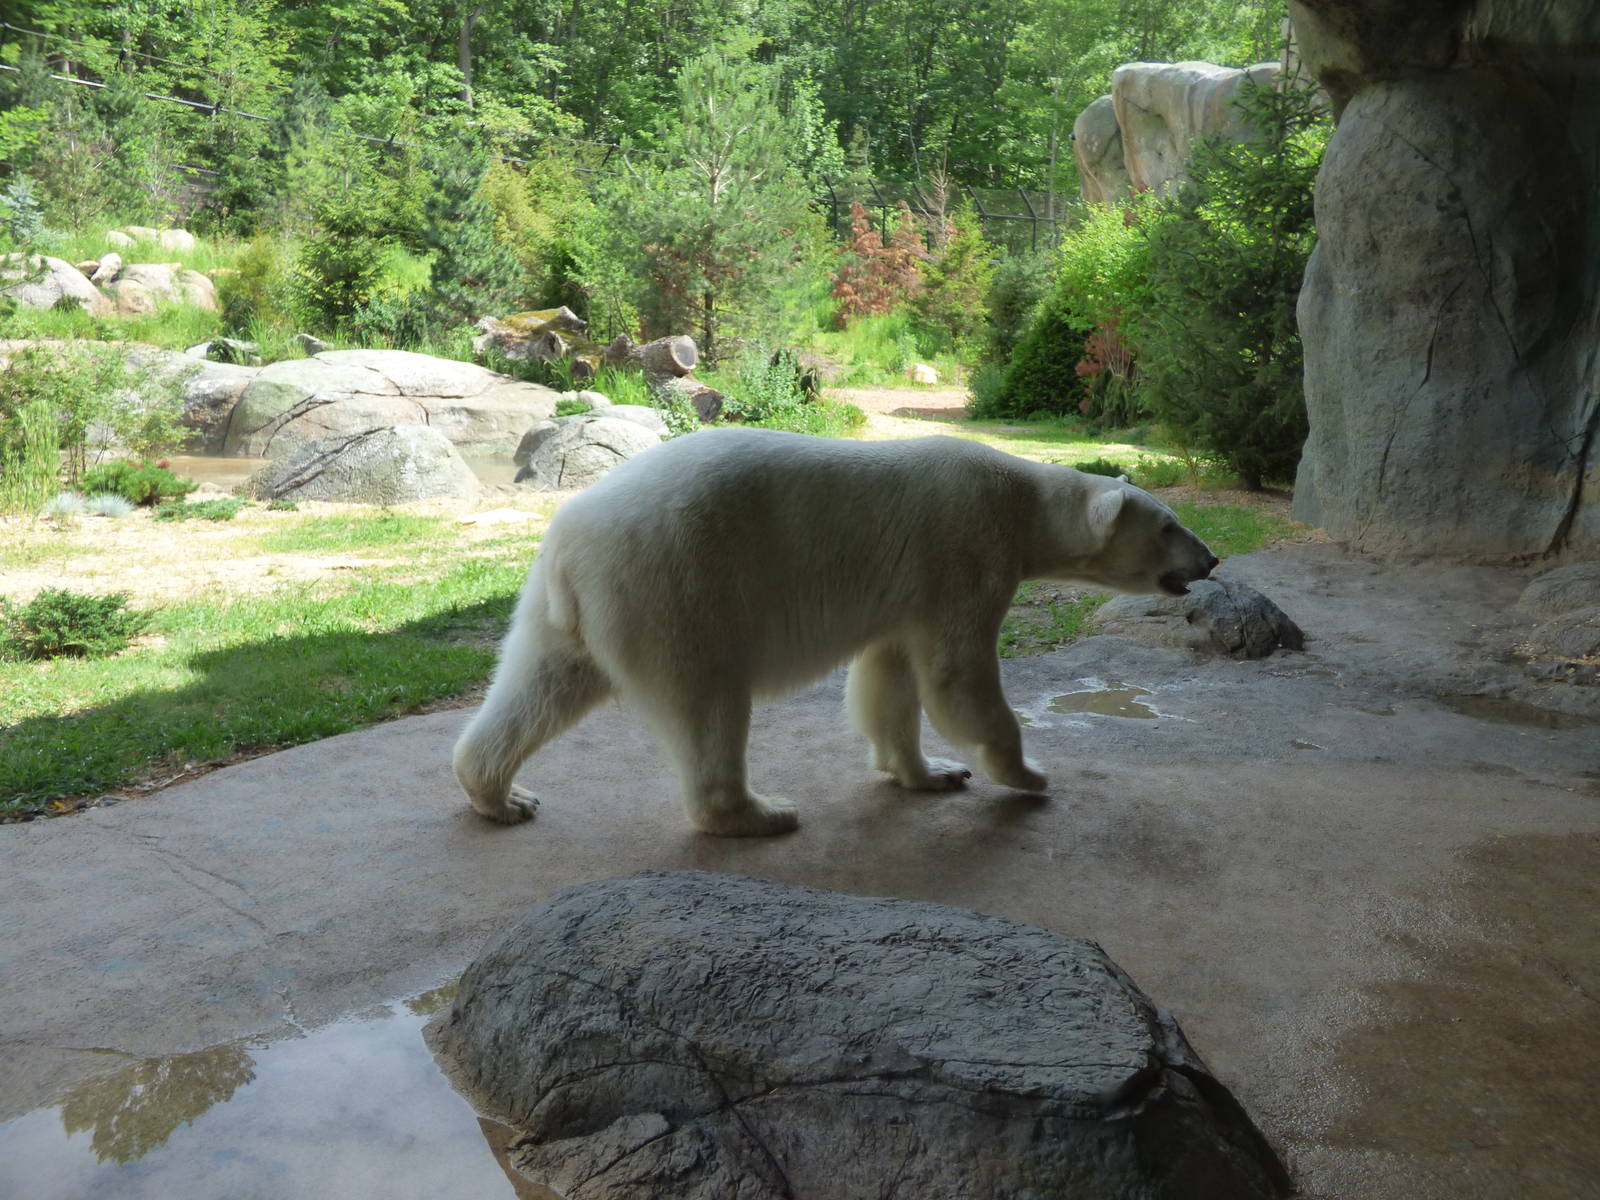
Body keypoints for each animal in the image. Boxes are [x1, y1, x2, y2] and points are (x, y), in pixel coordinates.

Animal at [453, 428, 1218, 836]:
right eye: (1169, 525)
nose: (1210, 560)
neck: (1021, 500)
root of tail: (567, 535)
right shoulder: (964, 552)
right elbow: (959, 676)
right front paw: (1026, 774)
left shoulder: (908, 595)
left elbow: (889, 680)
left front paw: (931, 774)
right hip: (675, 585)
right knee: (708, 702)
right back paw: (762, 812)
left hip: (570, 607)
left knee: (540, 685)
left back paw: (502, 794)